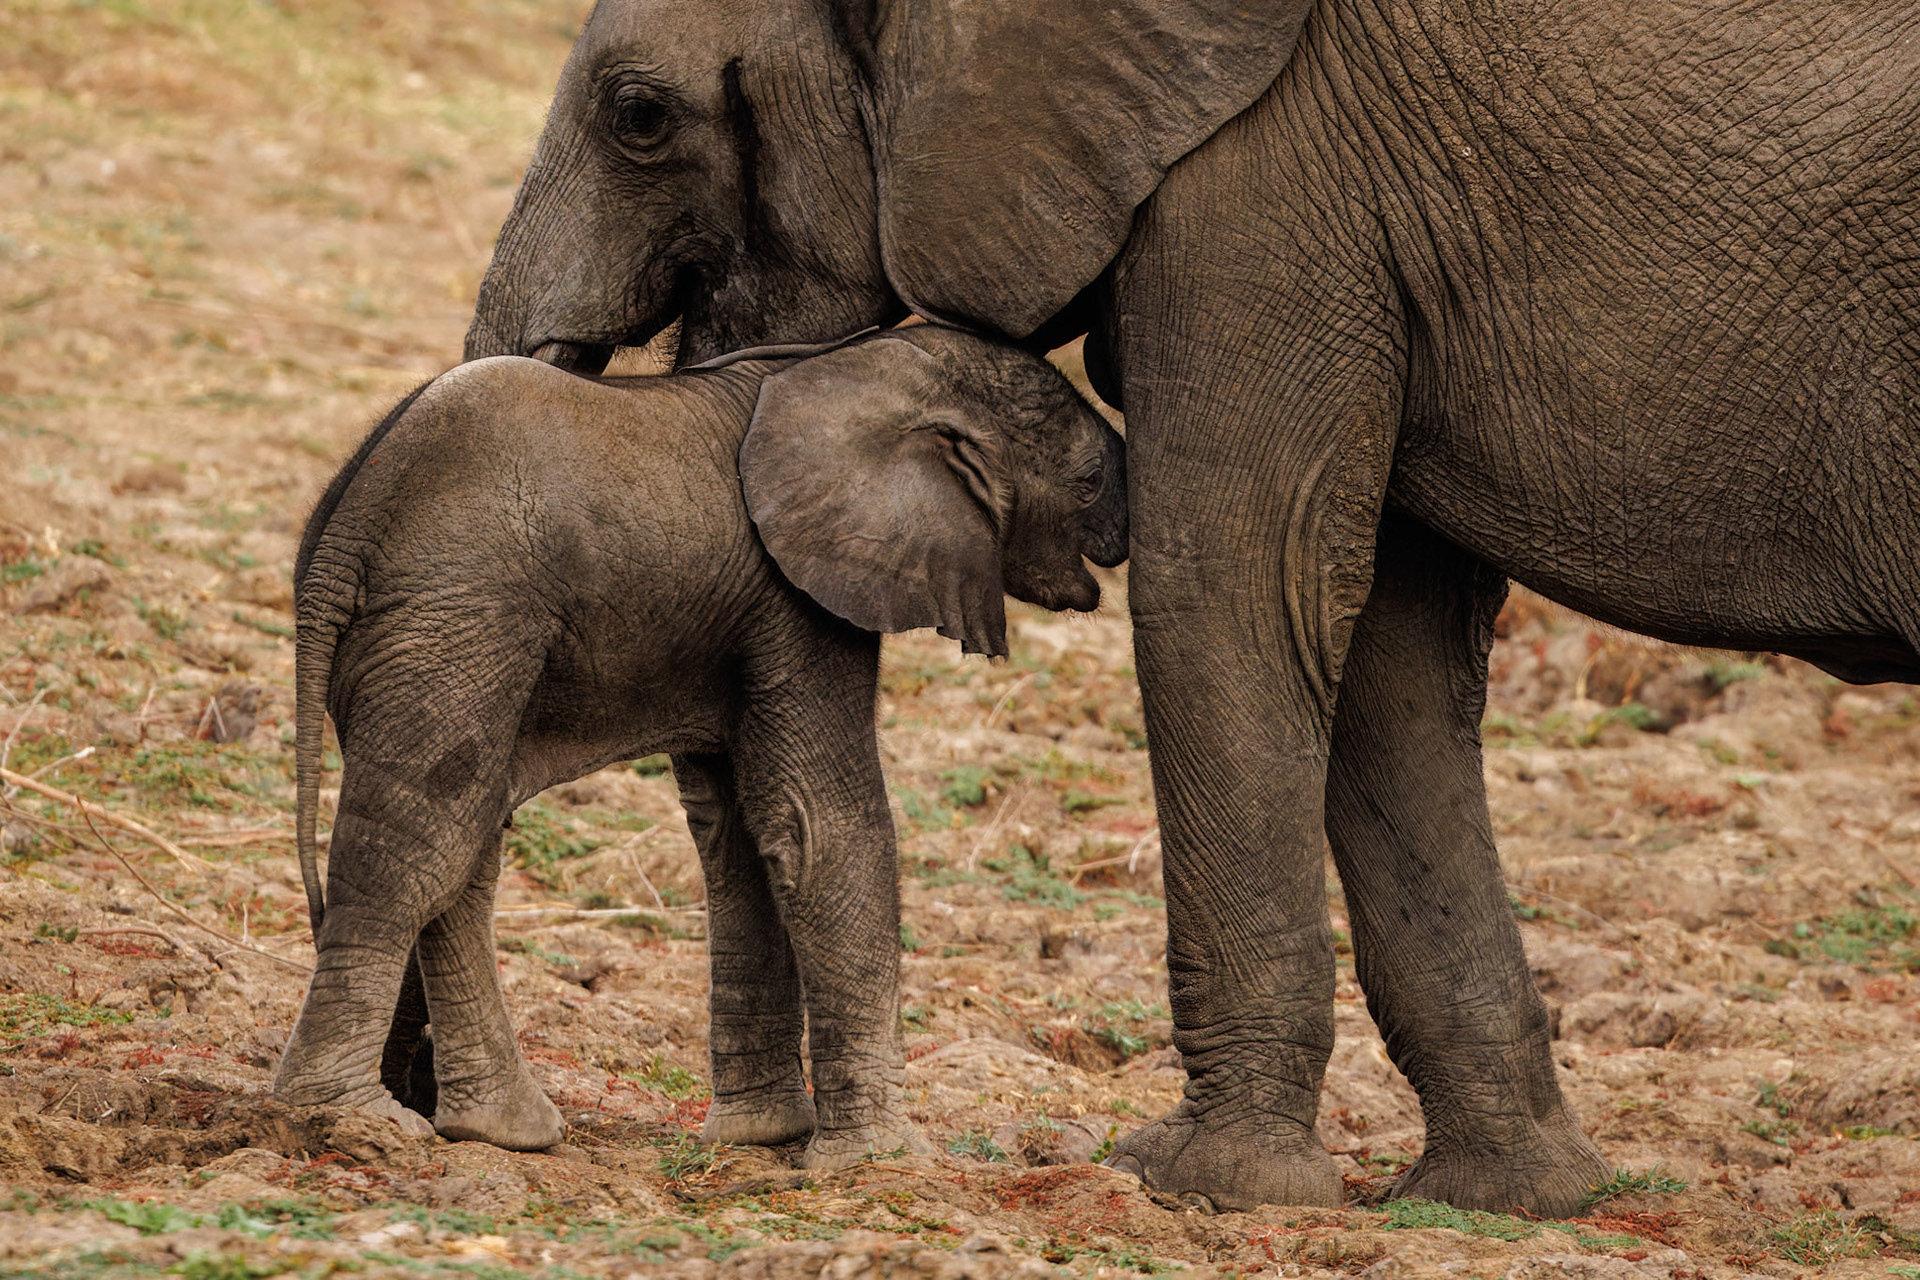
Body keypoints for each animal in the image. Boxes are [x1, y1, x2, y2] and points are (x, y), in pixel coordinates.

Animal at [276, 325, 1128, 1165]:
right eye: (1089, 479)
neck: (875, 363)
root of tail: (341, 537)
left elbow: (746, 838)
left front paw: (764, 1139)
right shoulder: (797, 600)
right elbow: (823, 826)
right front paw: (890, 1163)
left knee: (465, 837)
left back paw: (503, 1130)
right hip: (456, 613)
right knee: (416, 844)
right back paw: (350, 1120)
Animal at [460, 0, 1920, 1216]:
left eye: (640, 114)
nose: (756, 1146)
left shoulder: (1268, 180)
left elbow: (1233, 585)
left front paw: (1198, 1184)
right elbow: (1388, 653)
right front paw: (1504, 1203)